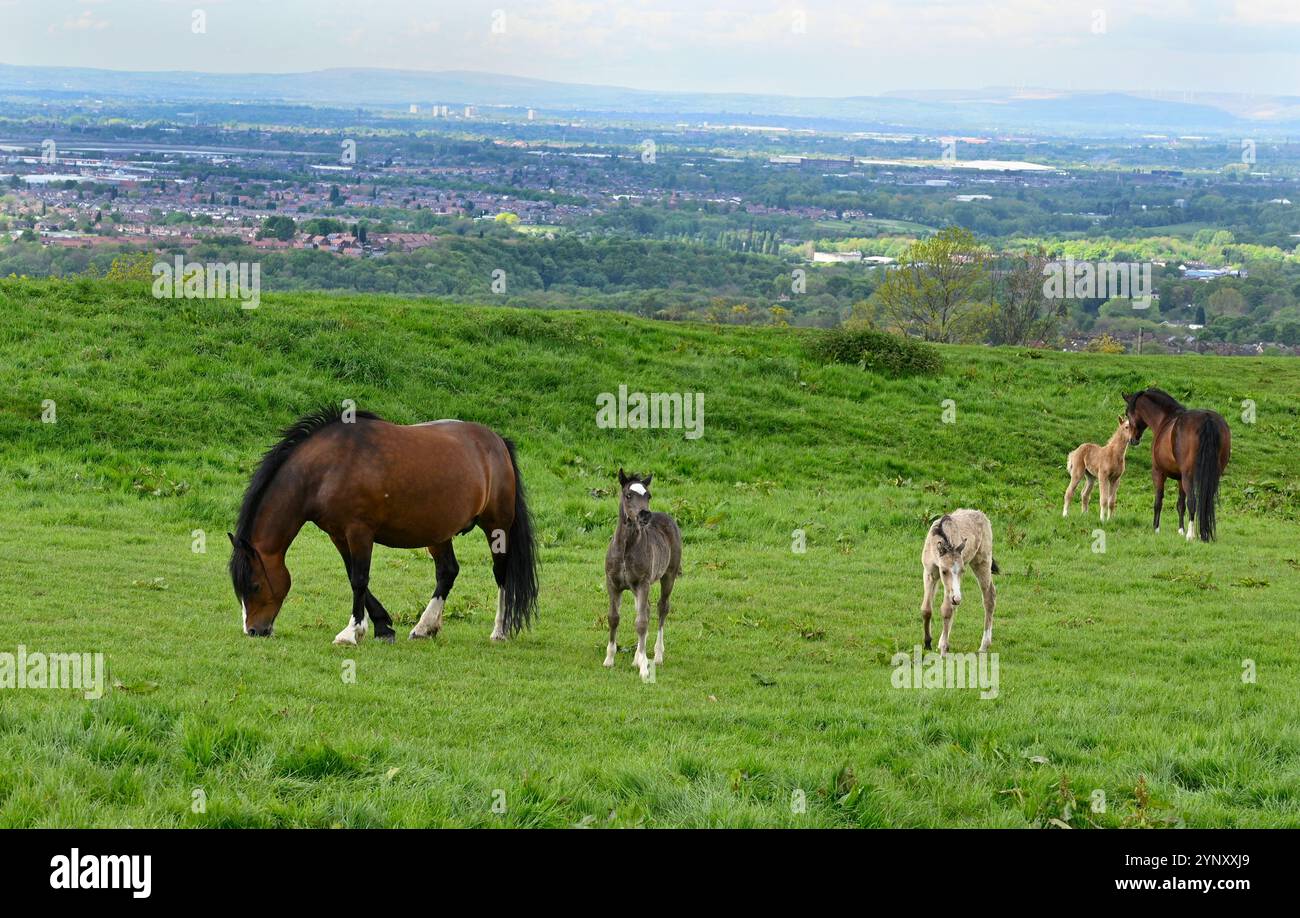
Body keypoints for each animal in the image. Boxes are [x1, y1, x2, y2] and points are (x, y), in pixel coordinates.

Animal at [228, 408, 538, 644]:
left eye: (254, 585)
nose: (254, 630)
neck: (328, 467)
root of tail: (497, 441)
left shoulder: (359, 532)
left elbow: (359, 579)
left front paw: (351, 632)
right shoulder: (338, 535)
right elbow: (353, 575)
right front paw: (382, 626)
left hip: (497, 527)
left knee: (501, 573)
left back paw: (499, 631)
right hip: (438, 533)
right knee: (447, 572)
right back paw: (425, 627)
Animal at [604, 469, 682, 681]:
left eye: (648, 495)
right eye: (628, 495)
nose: (644, 514)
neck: (625, 548)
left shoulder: (643, 583)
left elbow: (641, 623)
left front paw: (644, 669)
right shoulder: (613, 584)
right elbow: (613, 618)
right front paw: (609, 659)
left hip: (668, 576)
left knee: (662, 608)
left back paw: (656, 656)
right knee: (645, 608)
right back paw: (638, 658)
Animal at [920, 510, 999, 656]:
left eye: (962, 571)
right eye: (944, 571)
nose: (957, 598)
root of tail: (982, 515)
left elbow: (946, 610)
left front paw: (944, 650)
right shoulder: (930, 573)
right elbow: (926, 609)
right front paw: (928, 643)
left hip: (982, 561)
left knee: (989, 597)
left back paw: (984, 645)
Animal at [1122, 388, 1231, 542]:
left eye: (1127, 413)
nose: (1133, 440)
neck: (1165, 419)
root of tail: (1207, 418)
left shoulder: (1158, 472)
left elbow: (1158, 501)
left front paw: (1156, 529)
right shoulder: (1180, 478)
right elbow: (1180, 504)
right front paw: (1180, 530)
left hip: (1188, 476)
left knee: (1192, 502)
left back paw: (1191, 535)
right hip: (1211, 476)